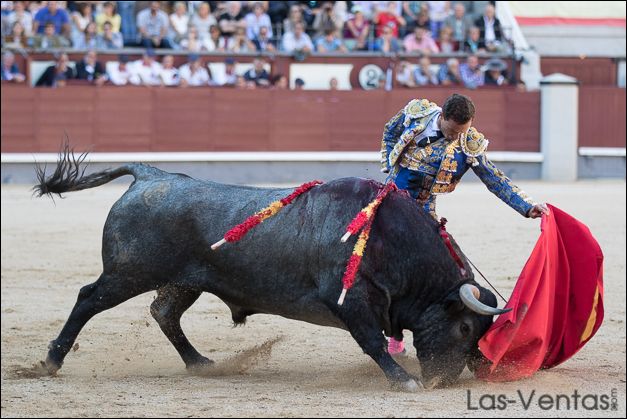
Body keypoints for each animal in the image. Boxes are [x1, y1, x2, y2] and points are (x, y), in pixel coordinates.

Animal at [34, 152, 508, 394]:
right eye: (465, 327)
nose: (443, 382)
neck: (391, 238)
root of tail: (151, 175)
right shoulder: (351, 301)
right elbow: (373, 342)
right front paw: (403, 380)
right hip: (129, 273)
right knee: (88, 299)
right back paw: (51, 361)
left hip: (184, 281)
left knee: (164, 313)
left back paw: (201, 363)